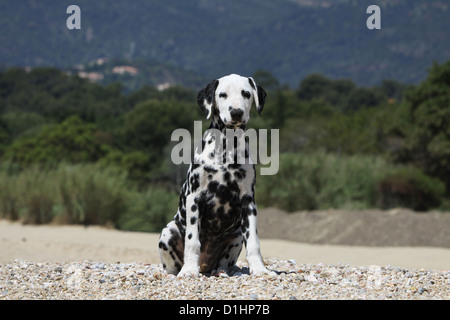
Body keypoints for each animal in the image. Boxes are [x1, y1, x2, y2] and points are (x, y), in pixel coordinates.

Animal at [157, 74, 270, 276]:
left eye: (246, 93)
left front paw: (259, 269)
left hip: (236, 236)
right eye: (222, 94)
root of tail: (205, 265)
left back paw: (221, 271)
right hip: (168, 233)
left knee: (225, 261)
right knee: (172, 265)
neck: (226, 147)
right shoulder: (194, 198)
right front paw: (189, 270)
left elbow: (253, 242)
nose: (236, 112)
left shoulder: (248, 202)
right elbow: (192, 241)